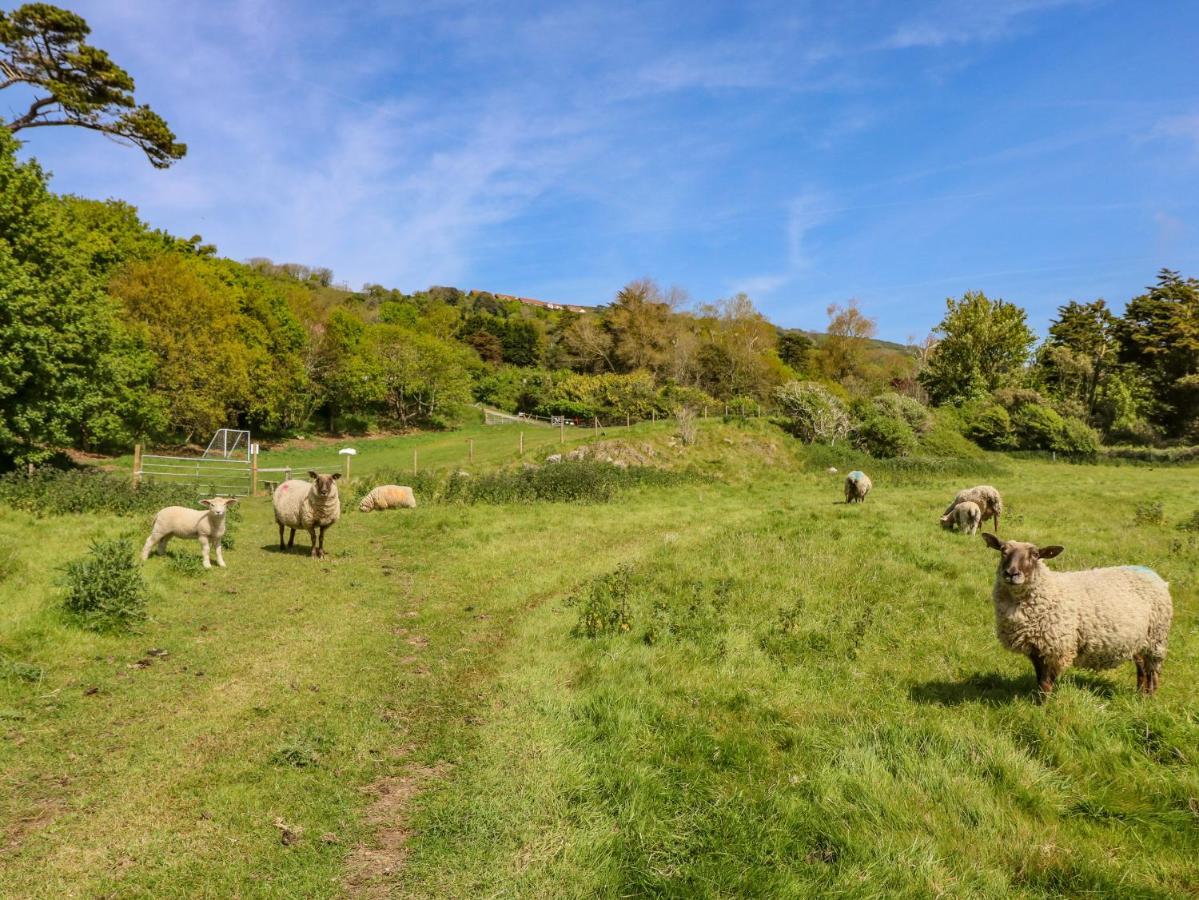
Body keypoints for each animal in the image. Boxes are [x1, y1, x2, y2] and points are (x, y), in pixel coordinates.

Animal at [983, 532, 1170, 699]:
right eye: (1002, 550)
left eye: (1035, 555)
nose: (1011, 573)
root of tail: (1152, 573)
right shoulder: (1036, 648)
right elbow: (1039, 679)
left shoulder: (1057, 648)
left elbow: (1045, 683)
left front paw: (1042, 707)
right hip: (1139, 639)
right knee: (1142, 667)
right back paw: (1140, 694)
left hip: (1156, 637)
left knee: (1153, 671)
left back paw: (1150, 698)